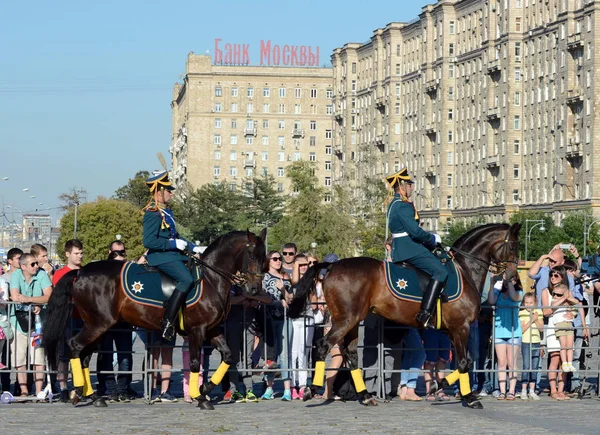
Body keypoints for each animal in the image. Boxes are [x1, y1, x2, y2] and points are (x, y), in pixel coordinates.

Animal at [44, 230, 264, 410]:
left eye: (263, 257)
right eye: (252, 255)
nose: (255, 289)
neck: (210, 278)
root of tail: (80, 271)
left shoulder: (212, 329)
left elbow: (228, 356)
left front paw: (205, 388)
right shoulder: (197, 330)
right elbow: (194, 363)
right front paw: (199, 397)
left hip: (97, 326)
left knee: (84, 356)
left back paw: (93, 396)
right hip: (98, 325)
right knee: (74, 346)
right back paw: (79, 391)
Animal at [288, 223, 520, 410]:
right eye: (513, 247)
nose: (513, 278)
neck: (464, 269)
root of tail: (332, 266)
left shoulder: (453, 331)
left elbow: (468, 361)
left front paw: (443, 385)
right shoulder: (461, 327)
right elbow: (464, 362)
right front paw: (469, 397)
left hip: (352, 322)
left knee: (351, 355)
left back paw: (365, 396)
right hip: (345, 320)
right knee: (323, 345)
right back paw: (312, 389)